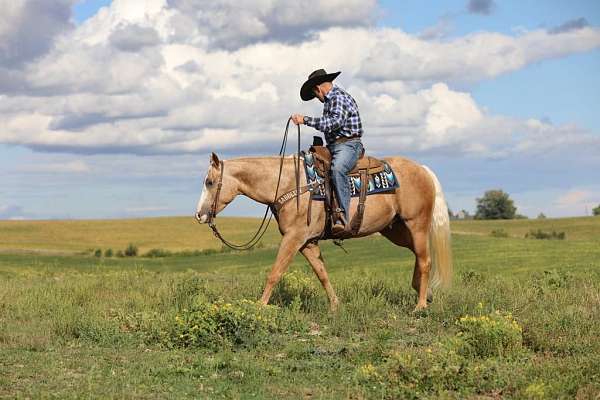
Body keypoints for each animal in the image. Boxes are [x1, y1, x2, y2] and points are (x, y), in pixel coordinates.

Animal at [195, 152, 452, 310]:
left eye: (209, 182)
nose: (199, 215)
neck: (290, 184)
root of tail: (423, 170)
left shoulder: (293, 238)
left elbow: (275, 273)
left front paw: (259, 307)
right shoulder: (307, 242)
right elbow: (322, 273)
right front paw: (335, 305)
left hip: (416, 224)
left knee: (425, 260)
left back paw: (420, 305)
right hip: (396, 230)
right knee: (419, 256)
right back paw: (425, 293)